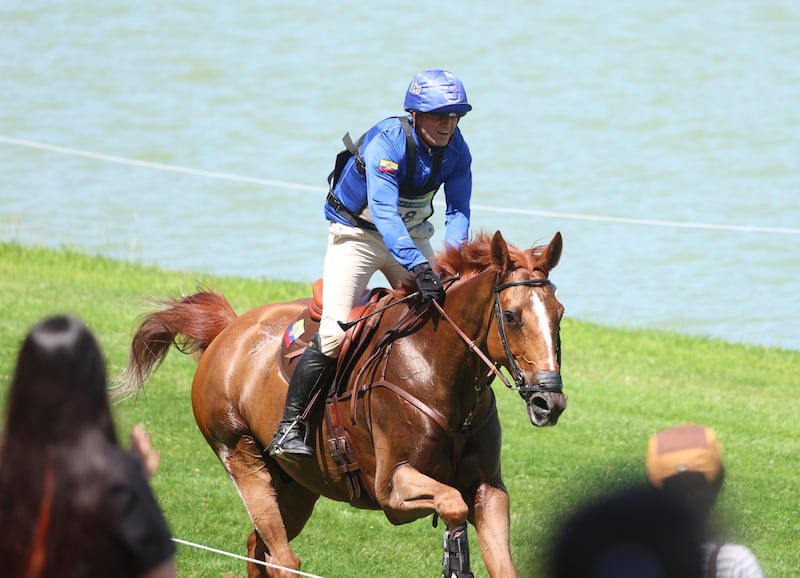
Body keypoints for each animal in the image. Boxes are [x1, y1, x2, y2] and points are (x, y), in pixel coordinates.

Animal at [120, 230, 568, 576]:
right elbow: (452, 505)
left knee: (257, 548)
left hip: (297, 488)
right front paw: (454, 558)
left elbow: (499, 557)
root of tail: (229, 330)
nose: (550, 401)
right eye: (510, 317)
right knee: (283, 559)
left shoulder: (489, 490)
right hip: (241, 457)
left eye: (560, 314)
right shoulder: (392, 489)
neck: (438, 370)